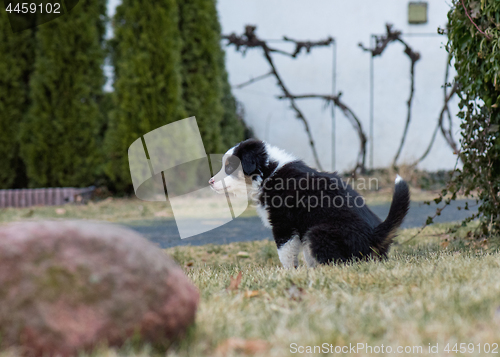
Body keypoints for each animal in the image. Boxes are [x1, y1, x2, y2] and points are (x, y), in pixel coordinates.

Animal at [209, 139, 408, 268]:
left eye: (229, 167)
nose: (210, 182)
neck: (269, 173)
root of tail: (375, 234)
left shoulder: (284, 225)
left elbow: (286, 253)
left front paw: (289, 273)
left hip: (317, 233)